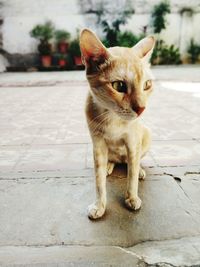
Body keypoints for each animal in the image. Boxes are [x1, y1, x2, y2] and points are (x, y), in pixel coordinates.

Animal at [79, 28, 155, 220]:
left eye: (147, 85)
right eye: (119, 86)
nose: (141, 109)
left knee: (131, 162)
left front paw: (132, 197)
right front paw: (99, 206)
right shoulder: (98, 144)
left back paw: (139, 169)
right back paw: (109, 165)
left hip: (146, 135)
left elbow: (132, 176)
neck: (113, 118)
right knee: (114, 161)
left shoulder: (132, 142)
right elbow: (99, 181)